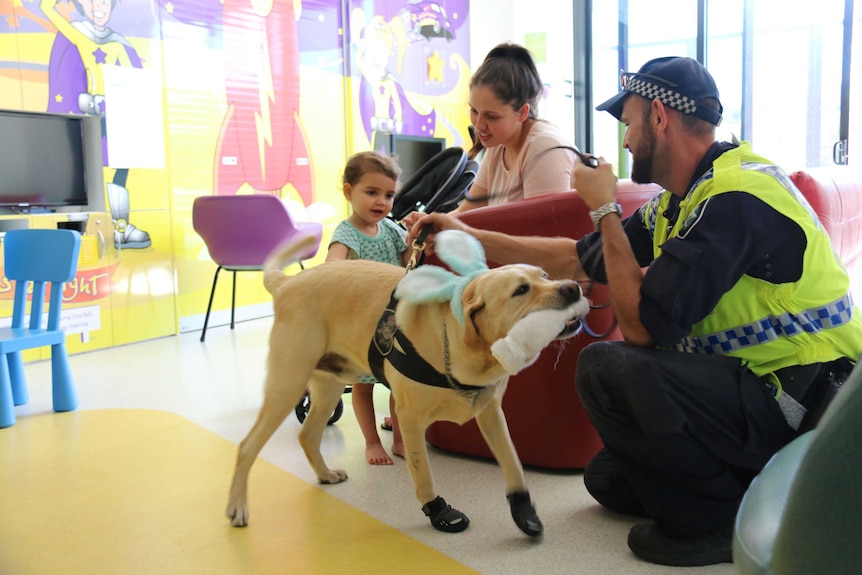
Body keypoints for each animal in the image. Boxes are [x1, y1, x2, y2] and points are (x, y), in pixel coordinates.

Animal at [226, 232, 592, 536]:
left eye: (544, 276)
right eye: (520, 290)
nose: (573, 287)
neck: (460, 339)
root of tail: (287, 283)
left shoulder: (490, 412)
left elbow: (513, 462)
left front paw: (523, 509)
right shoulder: (411, 419)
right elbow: (423, 473)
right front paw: (439, 511)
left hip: (328, 387)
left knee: (307, 434)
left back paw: (325, 474)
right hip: (287, 385)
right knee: (247, 446)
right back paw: (237, 507)